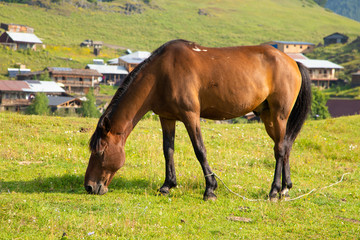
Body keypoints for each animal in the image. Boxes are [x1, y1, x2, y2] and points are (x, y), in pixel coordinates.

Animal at [83, 39, 310, 201]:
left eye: (100, 152)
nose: (89, 186)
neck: (161, 74)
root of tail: (292, 61)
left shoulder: (190, 115)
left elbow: (199, 150)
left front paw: (210, 190)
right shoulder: (167, 117)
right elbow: (168, 150)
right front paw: (167, 185)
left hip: (279, 115)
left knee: (280, 149)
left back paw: (274, 191)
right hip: (268, 117)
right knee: (284, 146)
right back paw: (285, 189)